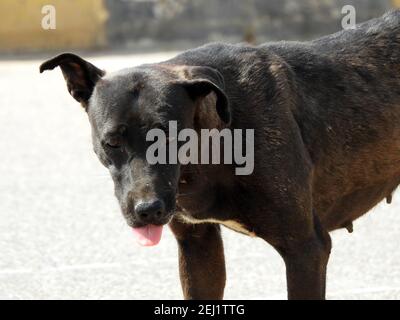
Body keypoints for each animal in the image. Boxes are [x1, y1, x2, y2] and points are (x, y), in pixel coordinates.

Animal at [41, 10, 400, 300]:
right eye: (112, 142)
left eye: (169, 135)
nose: (148, 211)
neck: (213, 147)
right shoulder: (198, 248)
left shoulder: (305, 248)